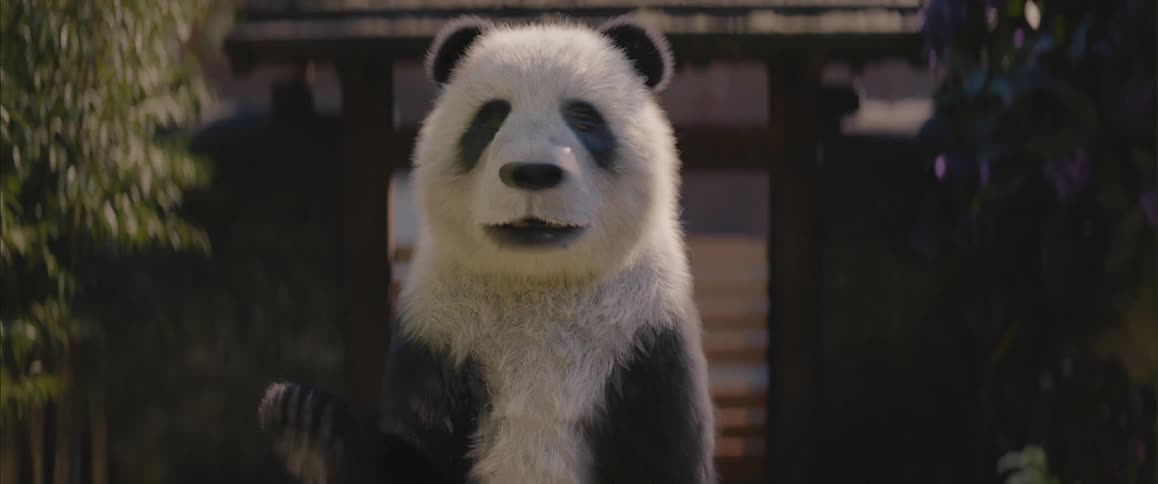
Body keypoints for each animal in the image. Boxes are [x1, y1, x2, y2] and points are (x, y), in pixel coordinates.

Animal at [258, 13, 717, 484]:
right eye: (493, 116)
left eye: (584, 118)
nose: (533, 172)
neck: (539, 285)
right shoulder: (438, 335)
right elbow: (412, 454)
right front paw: (309, 433)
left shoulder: (645, 339)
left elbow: (665, 456)